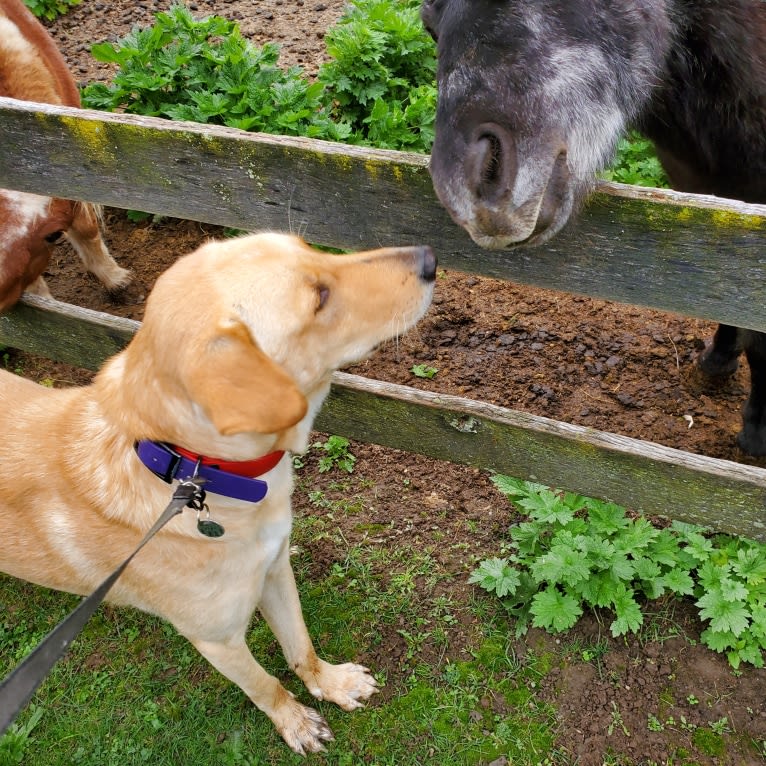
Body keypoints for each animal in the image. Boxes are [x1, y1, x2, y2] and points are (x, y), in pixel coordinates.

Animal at [0, 234, 436, 756]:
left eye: (310, 247)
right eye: (319, 298)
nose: (431, 258)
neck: (192, 471)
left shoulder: (275, 569)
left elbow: (300, 646)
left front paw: (331, 683)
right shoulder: (217, 639)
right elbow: (265, 685)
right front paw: (296, 722)